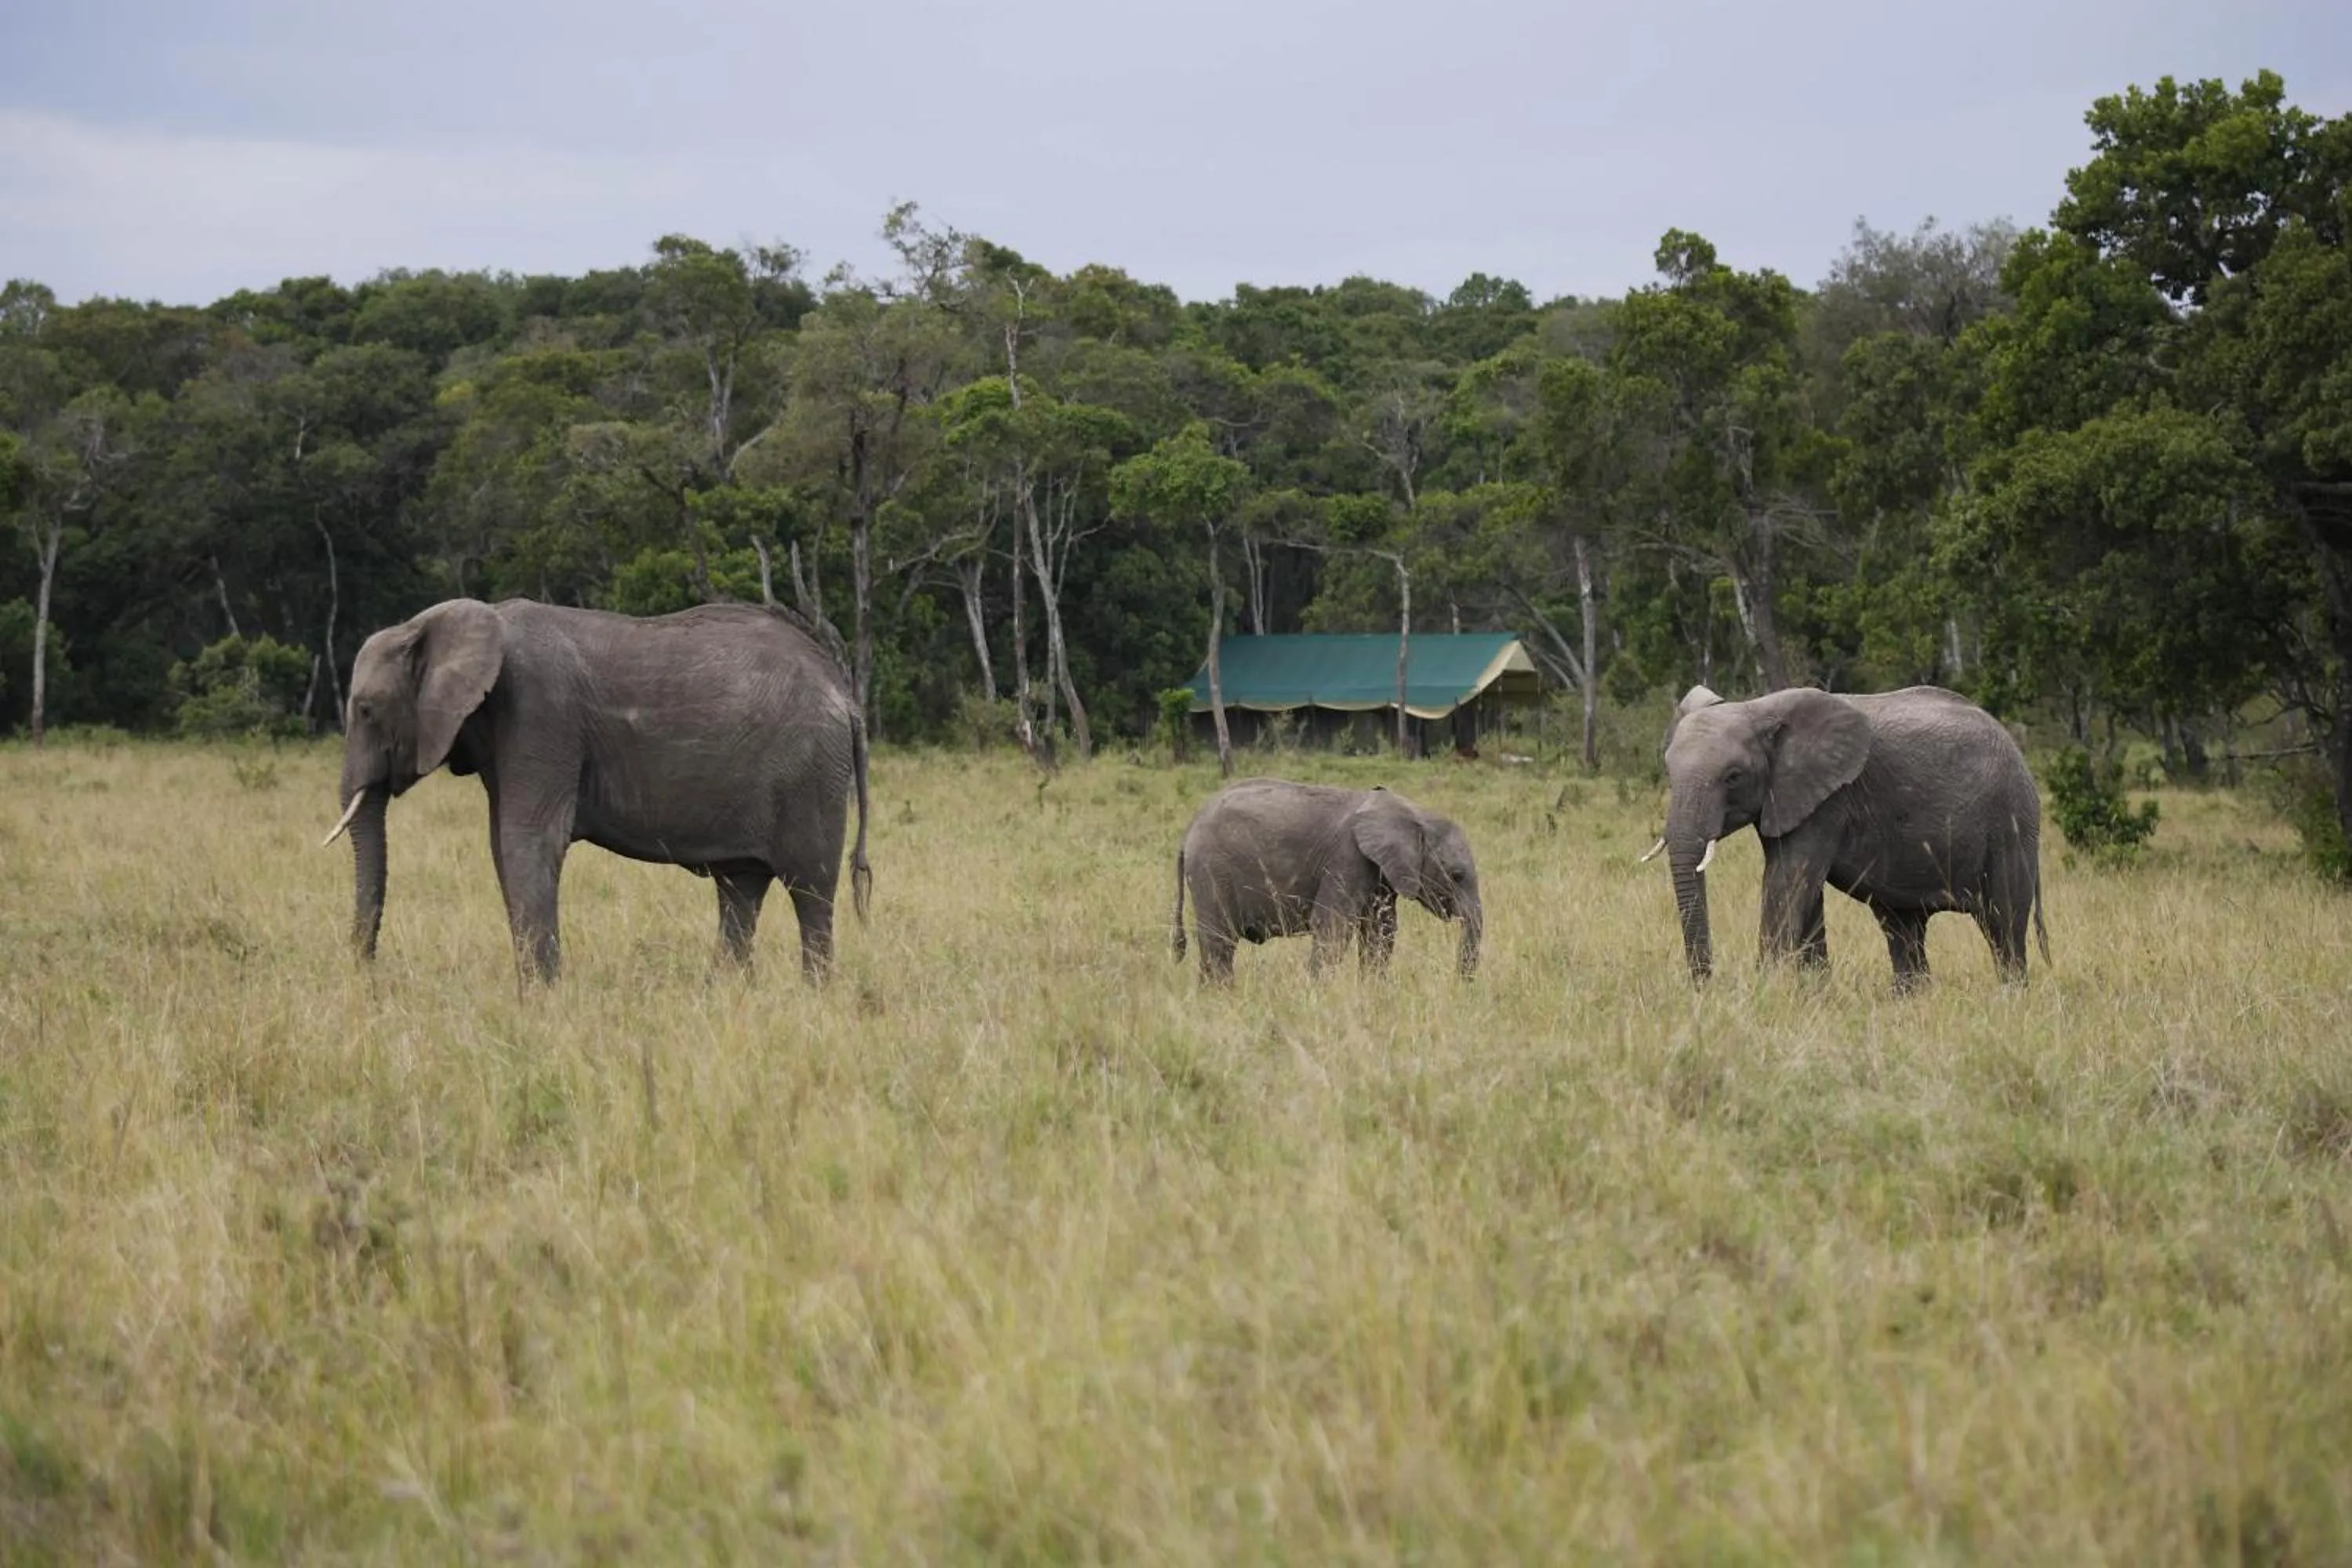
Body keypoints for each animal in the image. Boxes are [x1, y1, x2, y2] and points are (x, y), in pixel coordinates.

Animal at [321, 596, 871, 985]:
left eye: (366, 710)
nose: (367, 973)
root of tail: (846, 696)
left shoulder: (540, 715)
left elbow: (528, 841)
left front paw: (540, 997)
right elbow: (502, 846)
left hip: (810, 773)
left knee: (810, 888)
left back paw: (813, 994)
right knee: (741, 887)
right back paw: (729, 994)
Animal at [1170, 777, 1482, 983]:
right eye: (1457, 876)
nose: (1460, 983)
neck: (1412, 812)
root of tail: (1187, 833)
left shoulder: (1379, 870)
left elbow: (1381, 930)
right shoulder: (1347, 857)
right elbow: (1334, 926)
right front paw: (1318, 993)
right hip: (1212, 871)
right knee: (1219, 942)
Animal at [1645, 682, 2047, 992]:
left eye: (1733, 777)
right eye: (1668, 770)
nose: (1704, 988)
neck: (1758, 710)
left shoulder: (1830, 801)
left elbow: (1786, 883)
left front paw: (1768, 989)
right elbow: (1800, 890)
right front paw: (1812, 992)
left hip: (2011, 822)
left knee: (2004, 925)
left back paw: (2011, 997)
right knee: (1902, 928)